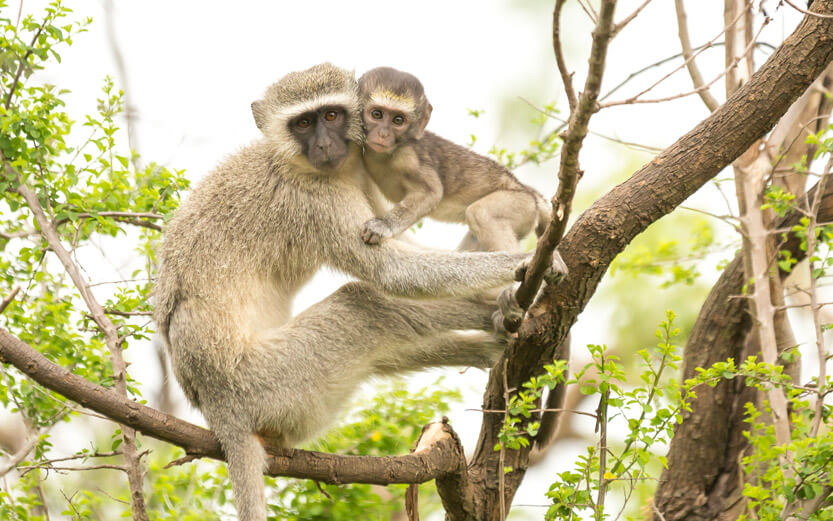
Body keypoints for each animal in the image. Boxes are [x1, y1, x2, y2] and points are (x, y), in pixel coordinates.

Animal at [357, 66, 552, 253]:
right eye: (377, 114)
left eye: (398, 120)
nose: (383, 134)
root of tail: (527, 191)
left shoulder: (409, 157)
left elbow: (431, 192)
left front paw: (383, 226)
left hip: (521, 204)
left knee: (480, 213)